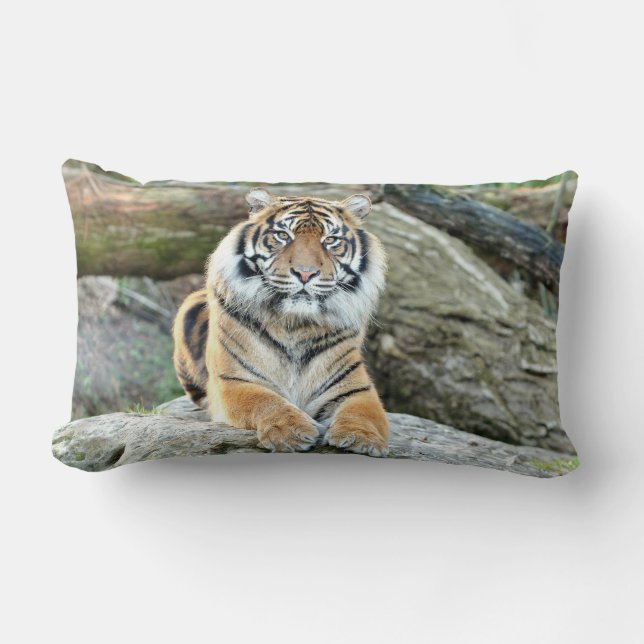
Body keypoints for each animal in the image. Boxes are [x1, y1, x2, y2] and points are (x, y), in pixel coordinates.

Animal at [172, 188, 389, 456]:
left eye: (330, 240)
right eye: (283, 236)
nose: (305, 273)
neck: (295, 324)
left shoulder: (355, 387)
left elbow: (363, 413)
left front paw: (363, 438)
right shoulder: (235, 380)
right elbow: (265, 401)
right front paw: (291, 431)